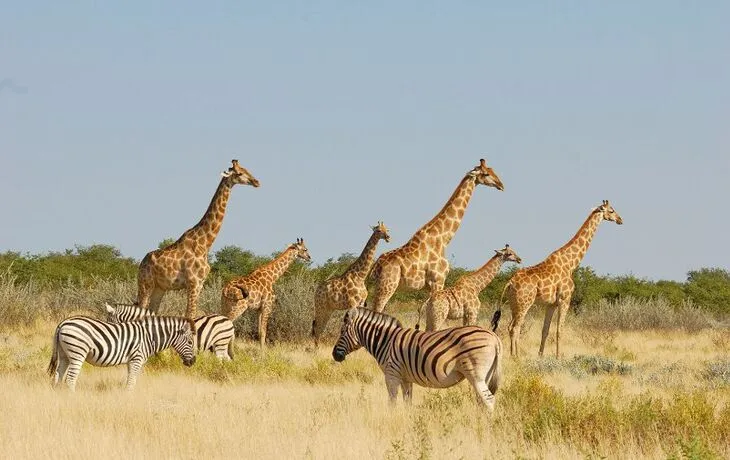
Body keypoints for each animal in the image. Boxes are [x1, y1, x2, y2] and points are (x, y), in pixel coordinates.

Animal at [47, 315, 196, 391]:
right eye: (190, 342)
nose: (193, 361)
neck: (149, 336)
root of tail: (64, 322)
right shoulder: (137, 358)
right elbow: (132, 381)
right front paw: (129, 398)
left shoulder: (131, 360)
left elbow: (130, 379)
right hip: (77, 352)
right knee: (70, 379)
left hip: (64, 354)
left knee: (58, 375)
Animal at [104, 303, 236, 361]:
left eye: (109, 320)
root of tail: (228, 320)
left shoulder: (165, 350)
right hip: (218, 346)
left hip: (220, 344)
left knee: (220, 359)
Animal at [332, 307, 503, 410]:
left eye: (342, 332)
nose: (334, 355)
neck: (386, 341)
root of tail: (494, 337)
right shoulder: (405, 378)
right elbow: (407, 402)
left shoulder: (391, 374)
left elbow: (392, 402)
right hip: (486, 376)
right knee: (483, 401)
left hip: (476, 375)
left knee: (489, 400)